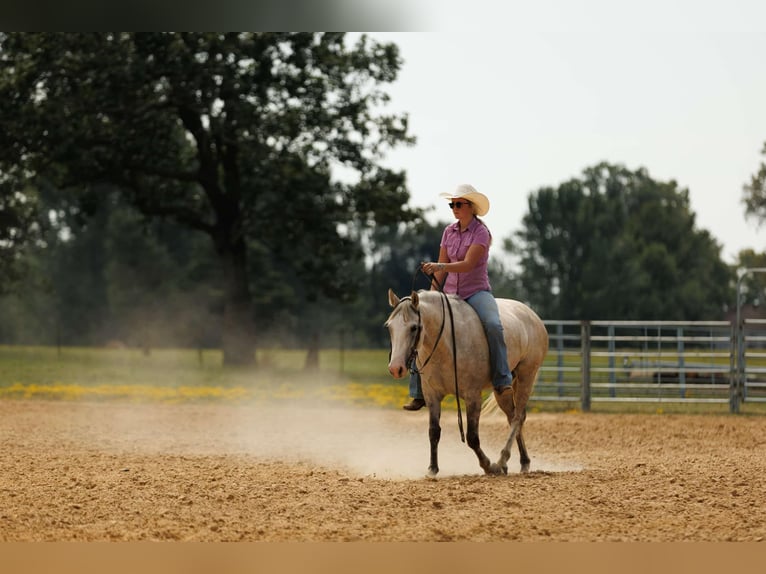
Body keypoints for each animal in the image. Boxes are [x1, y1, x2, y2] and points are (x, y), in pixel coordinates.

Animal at [385, 288, 548, 477]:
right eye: (389, 326)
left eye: (414, 327)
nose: (395, 368)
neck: (446, 344)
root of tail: (532, 315)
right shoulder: (432, 395)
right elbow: (434, 432)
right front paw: (432, 469)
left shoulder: (473, 396)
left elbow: (472, 437)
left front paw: (488, 465)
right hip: (503, 390)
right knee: (513, 416)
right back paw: (521, 462)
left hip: (526, 376)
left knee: (517, 418)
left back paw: (501, 461)